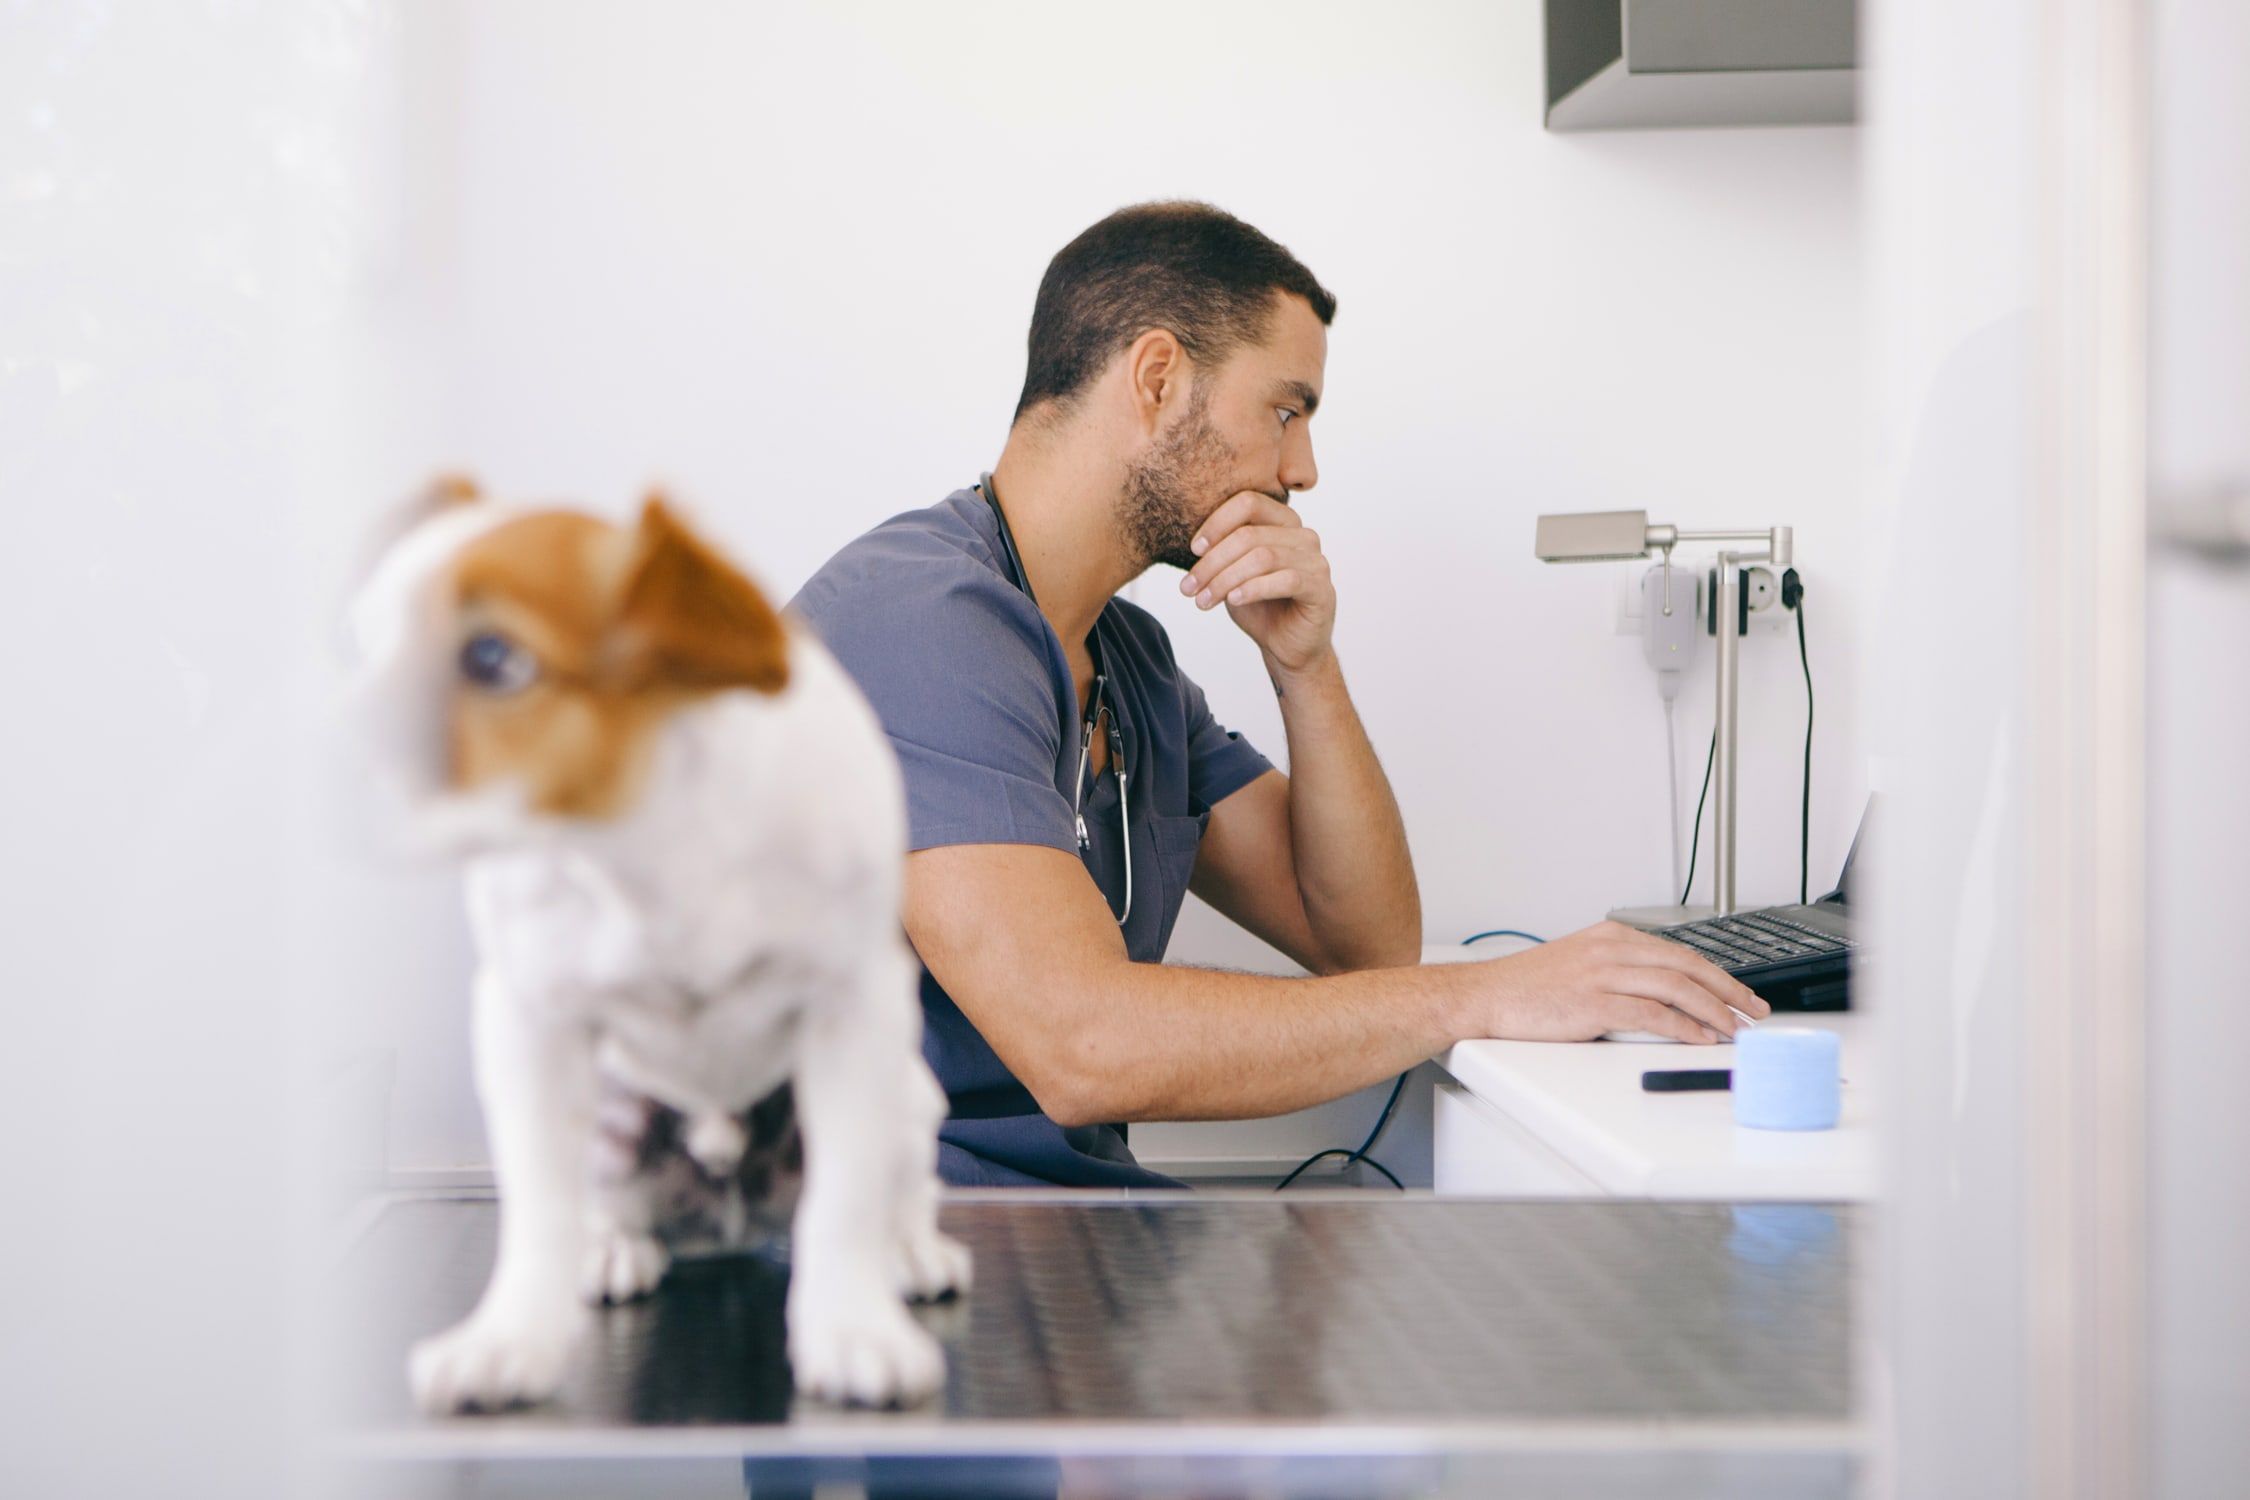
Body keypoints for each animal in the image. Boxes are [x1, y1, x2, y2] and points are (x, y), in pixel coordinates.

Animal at [348, 483, 967, 1421]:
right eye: (357, 648)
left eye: (491, 659)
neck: (641, 844)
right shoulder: (529, 1027)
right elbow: (538, 1206)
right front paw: (509, 1341)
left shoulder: (854, 1011)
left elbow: (846, 1200)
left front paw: (852, 1331)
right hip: (611, 1118)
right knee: (603, 1205)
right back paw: (611, 1250)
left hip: (908, 1096)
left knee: (898, 1188)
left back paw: (909, 1252)